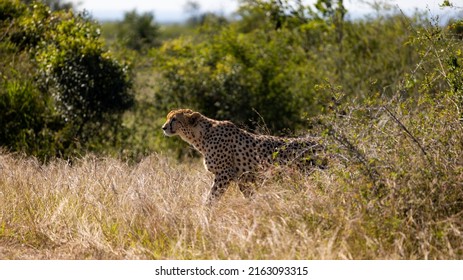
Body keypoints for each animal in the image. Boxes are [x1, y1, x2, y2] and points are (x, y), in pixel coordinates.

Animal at [163, 108, 326, 205]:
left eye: (174, 119)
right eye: (168, 118)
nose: (163, 127)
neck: (201, 136)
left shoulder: (224, 174)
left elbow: (212, 197)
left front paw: (204, 214)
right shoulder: (242, 178)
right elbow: (249, 196)